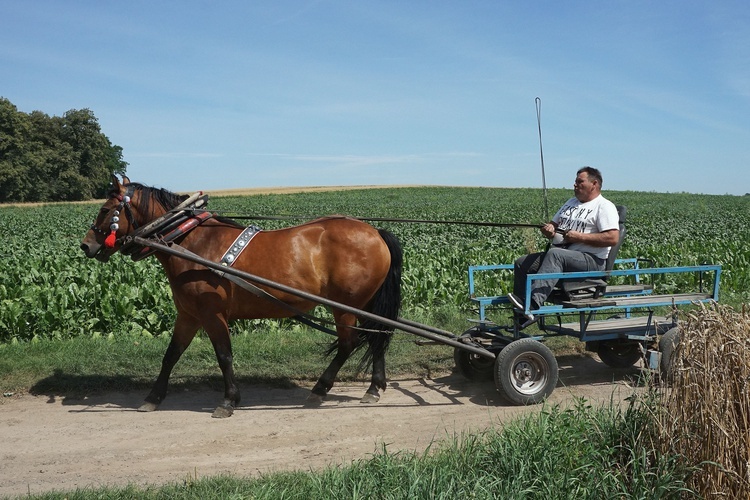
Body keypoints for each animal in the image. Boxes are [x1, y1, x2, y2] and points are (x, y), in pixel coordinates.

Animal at [79, 177, 402, 418]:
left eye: (106, 209)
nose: (85, 245)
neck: (191, 243)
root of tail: (375, 231)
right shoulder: (189, 314)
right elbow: (171, 355)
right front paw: (153, 397)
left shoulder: (212, 314)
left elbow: (224, 355)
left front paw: (228, 400)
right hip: (367, 305)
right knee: (378, 336)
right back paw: (374, 388)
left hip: (347, 306)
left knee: (349, 343)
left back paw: (320, 389)